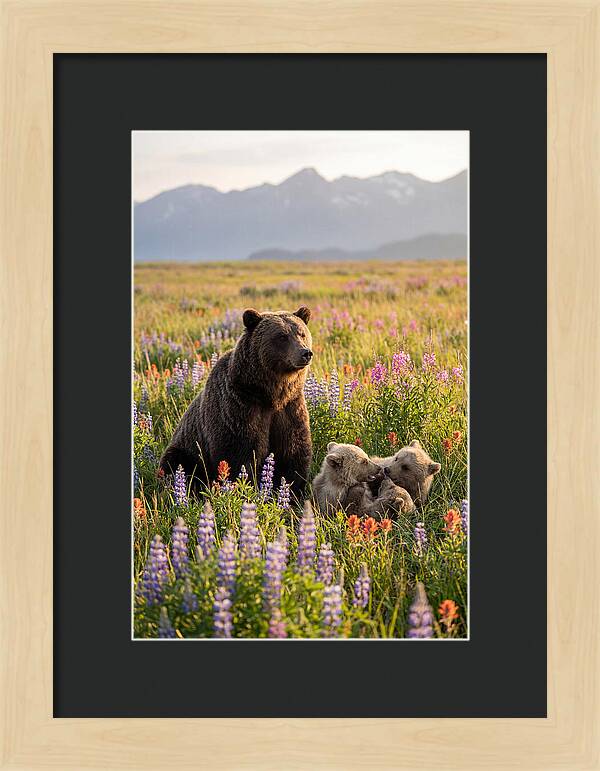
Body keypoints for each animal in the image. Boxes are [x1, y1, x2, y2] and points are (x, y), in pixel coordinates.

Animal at [159, 306, 313, 497]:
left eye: (302, 333)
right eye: (282, 336)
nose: (305, 353)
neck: (270, 394)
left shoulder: (290, 408)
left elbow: (293, 452)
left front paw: (292, 493)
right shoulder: (239, 407)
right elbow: (239, 454)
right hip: (186, 449)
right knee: (175, 464)